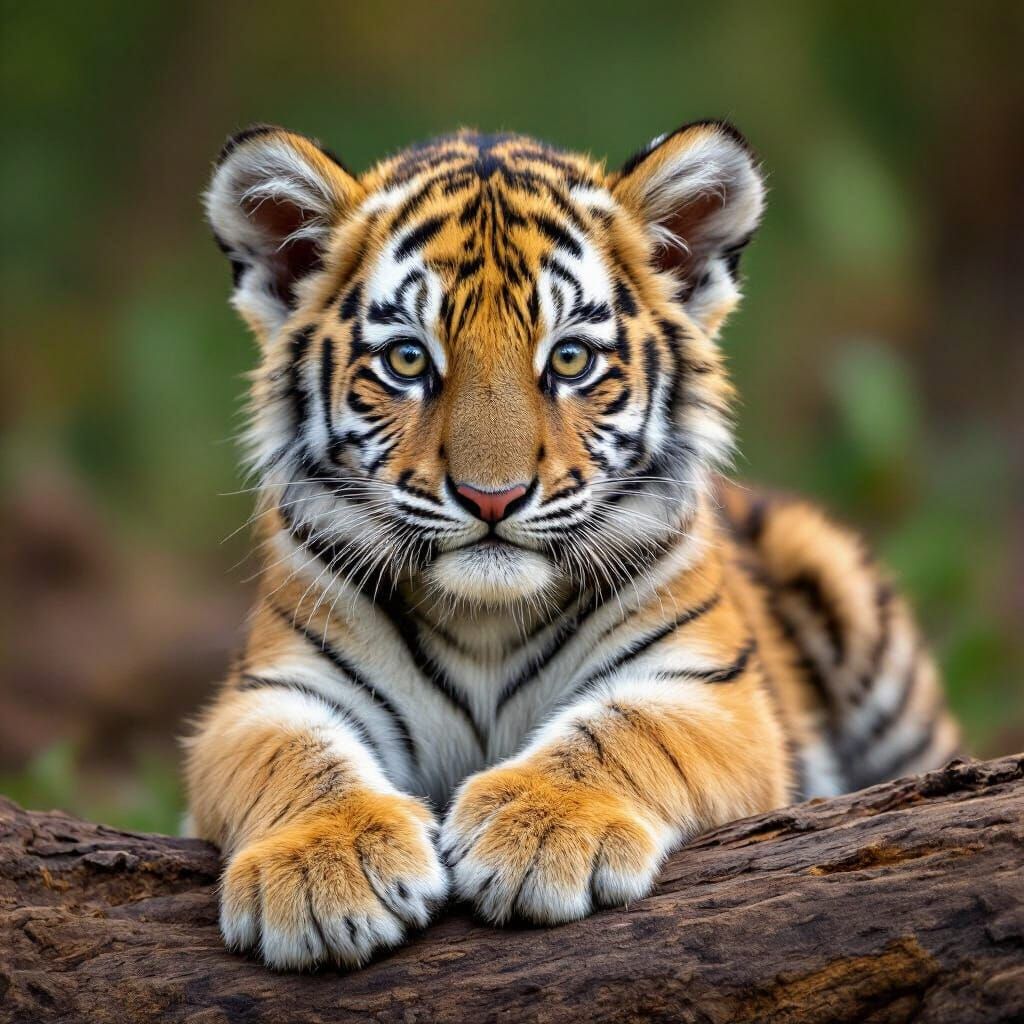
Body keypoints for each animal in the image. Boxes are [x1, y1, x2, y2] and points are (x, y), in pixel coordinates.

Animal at [185, 120, 960, 971]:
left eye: (569, 359)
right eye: (408, 360)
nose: (492, 497)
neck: (485, 620)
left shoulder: (707, 686)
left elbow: (623, 730)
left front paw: (539, 829)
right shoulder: (265, 694)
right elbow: (296, 757)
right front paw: (324, 868)